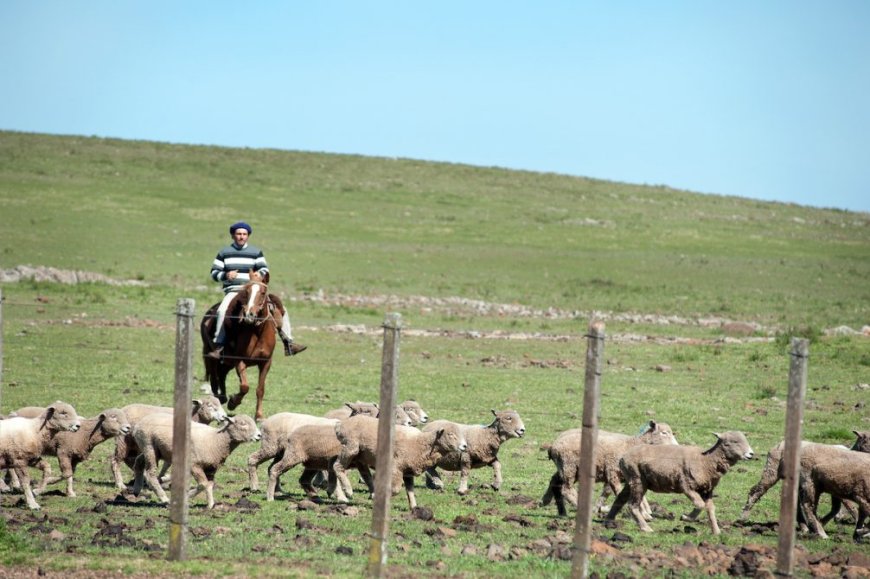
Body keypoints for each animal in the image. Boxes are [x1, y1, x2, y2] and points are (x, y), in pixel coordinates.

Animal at [132, 414, 262, 510]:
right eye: (243, 424)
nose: (259, 435)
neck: (216, 440)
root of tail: (138, 425)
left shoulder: (211, 468)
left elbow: (209, 485)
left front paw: (210, 504)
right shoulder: (194, 465)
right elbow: (203, 484)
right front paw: (193, 499)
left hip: (152, 450)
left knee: (138, 463)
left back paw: (136, 490)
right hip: (149, 447)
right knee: (150, 474)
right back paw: (164, 499)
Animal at [201, 280, 280, 420]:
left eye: (263, 292)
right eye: (247, 292)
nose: (249, 315)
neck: (257, 332)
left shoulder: (265, 363)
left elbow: (260, 389)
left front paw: (259, 415)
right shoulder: (239, 361)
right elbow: (244, 386)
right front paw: (233, 402)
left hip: (227, 363)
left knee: (221, 375)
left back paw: (223, 397)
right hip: (210, 357)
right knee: (214, 379)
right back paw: (220, 399)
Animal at [334, 414, 470, 510]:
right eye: (450, 434)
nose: (464, 446)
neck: (420, 443)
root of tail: (341, 425)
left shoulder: (408, 472)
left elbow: (410, 491)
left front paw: (414, 508)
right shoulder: (396, 468)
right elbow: (396, 489)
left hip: (360, 457)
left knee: (365, 474)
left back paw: (371, 492)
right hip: (350, 448)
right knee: (337, 466)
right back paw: (348, 490)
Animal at [608, 430, 756, 536]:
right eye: (733, 442)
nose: (751, 454)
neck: (706, 460)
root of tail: (623, 457)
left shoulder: (707, 490)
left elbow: (710, 509)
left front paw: (716, 531)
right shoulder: (687, 486)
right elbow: (700, 505)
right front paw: (686, 517)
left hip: (632, 480)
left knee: (620, 498)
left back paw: (609, 520)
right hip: (637, 480)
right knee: (632, 505)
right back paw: (645, 528)